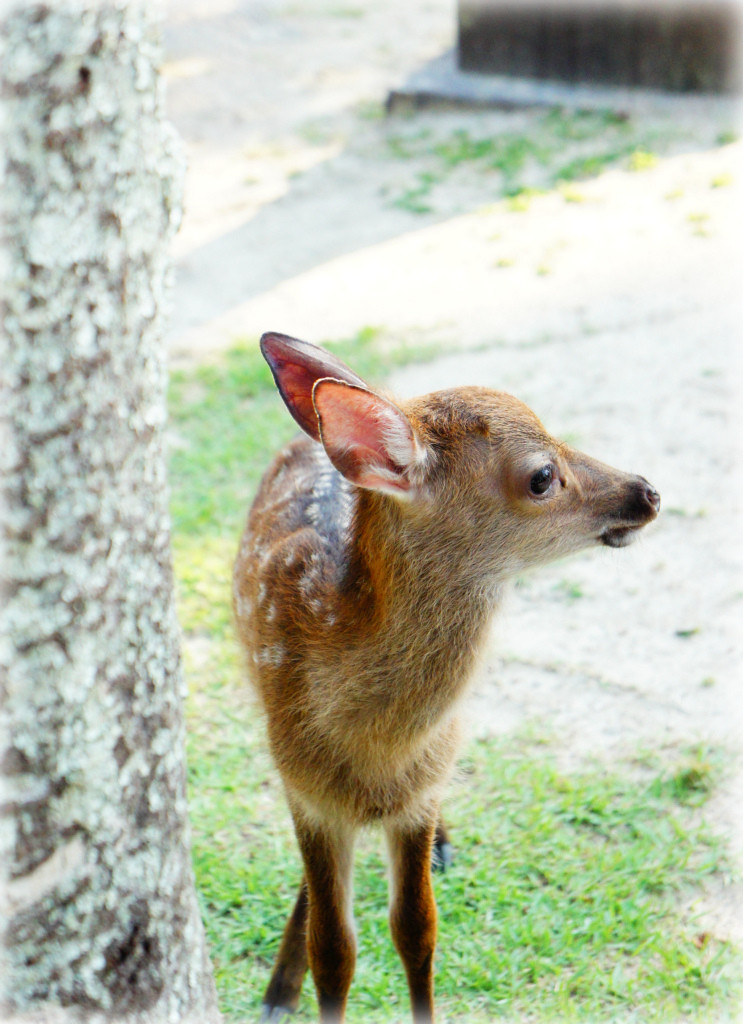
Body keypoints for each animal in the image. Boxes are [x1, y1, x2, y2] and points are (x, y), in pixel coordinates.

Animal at [232, 332, 660, 1023]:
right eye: (542, 475)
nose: (647, 492)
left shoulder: (422, 793)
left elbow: (418, 929)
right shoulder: (307, 792)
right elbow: (335, 947)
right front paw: (290, 985)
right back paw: (280, 988)